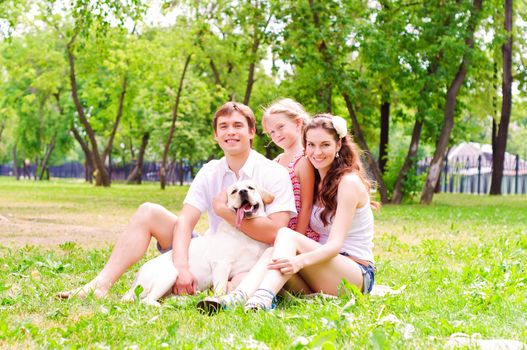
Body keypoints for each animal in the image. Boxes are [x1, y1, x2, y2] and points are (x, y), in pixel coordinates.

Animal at [122, 180, 274, 306]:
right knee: (146, 300)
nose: (243, 192)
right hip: (170, 274)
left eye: (251, 188)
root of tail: (136, 280)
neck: (245, 234)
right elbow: (221, 289)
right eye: (234, 191)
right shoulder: (221, 264)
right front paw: (217, 300)